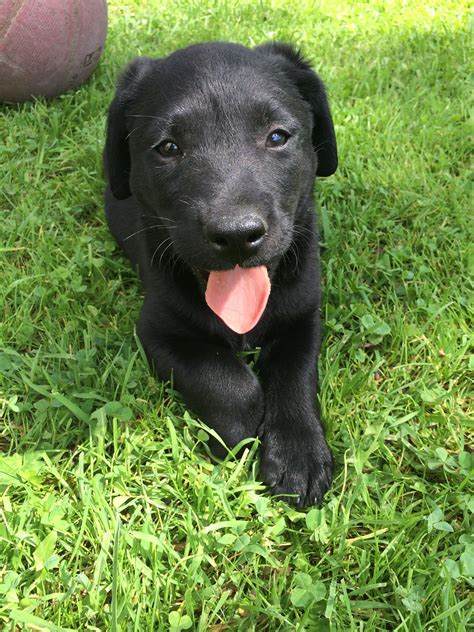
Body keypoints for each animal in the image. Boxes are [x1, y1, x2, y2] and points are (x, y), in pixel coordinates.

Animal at [106, 42, 338, 508]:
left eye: (277, 137)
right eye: (168, 148)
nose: (235, 236)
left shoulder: (304, 316)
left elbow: (295, 375)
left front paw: (299, 453)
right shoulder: (156, 331)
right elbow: (226, 380)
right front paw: (237, 430)